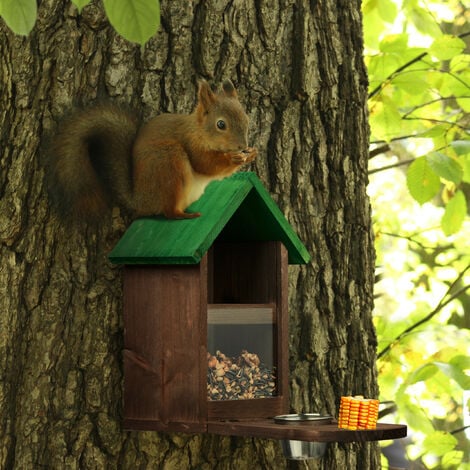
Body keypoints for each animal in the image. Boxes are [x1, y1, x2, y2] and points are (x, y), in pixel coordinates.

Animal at [46, 80, 258, 221]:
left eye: (247, 119)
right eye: (221, 124)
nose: (242, 146)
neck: (198, 130)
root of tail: (140, 200)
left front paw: (251, 153)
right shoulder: (190, 143)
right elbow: (206, 165)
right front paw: (234, 159)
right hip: (169, 162)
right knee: (168, 211)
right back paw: (184, 216)